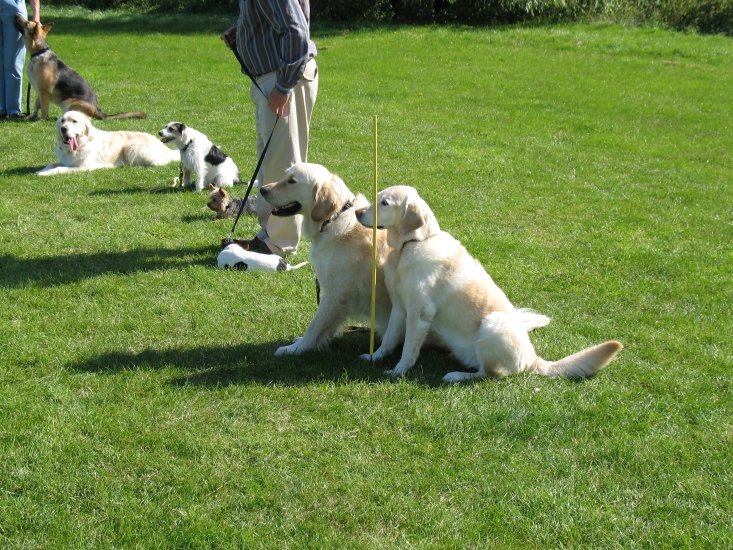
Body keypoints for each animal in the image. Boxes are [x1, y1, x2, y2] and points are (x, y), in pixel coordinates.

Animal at [15, 16, 145, 121]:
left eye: (27, 22)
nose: (16, 15)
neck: (39, 52)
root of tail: (99, 112)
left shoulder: (44, 92)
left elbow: (44, 109)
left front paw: (41, 120)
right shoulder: (39, 91)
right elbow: (37, 106)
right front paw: (32, 117)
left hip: (68, 102)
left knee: (88, 118)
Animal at [36, 110, 180, 176]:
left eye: (74, 121)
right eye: (62, 121)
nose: (63, 129)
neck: (80, 144)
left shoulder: (83, 167)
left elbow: (59, 168)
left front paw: (45, 173)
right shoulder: (65, 160)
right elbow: (51, 164)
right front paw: (41, 170)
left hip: (131, 147)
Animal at [259, 163, 393, 355]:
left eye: (292, 181)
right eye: (286, 176)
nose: (262, 189)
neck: (332, 220)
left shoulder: (335, 292)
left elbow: (315, 325)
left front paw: (297, 348)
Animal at [356, 185, 623, 383]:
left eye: (385, 203)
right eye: (376, 198)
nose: (357, 212)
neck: (411, 245)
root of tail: (532, 358)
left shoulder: (419, 315)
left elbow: (408, 350)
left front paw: (398, 372)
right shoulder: (400, 308)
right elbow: (389, 340)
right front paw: (374, 357)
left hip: (492, 325)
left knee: (489, 374)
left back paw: (456, 376)